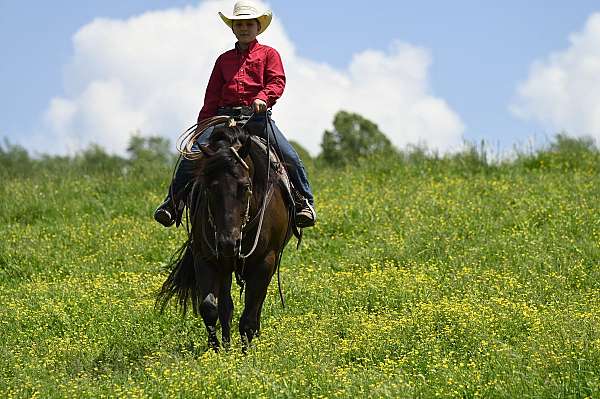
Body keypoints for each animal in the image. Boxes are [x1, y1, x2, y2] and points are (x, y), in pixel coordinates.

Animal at [155, 119, 296, 354]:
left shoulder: (266, 261)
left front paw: (246, 354)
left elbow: (249, 315)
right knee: (226, 307)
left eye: (245, 186)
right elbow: (210, 307)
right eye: (209, 188)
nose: (228, 243)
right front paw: (217, 351)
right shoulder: (206, 257)